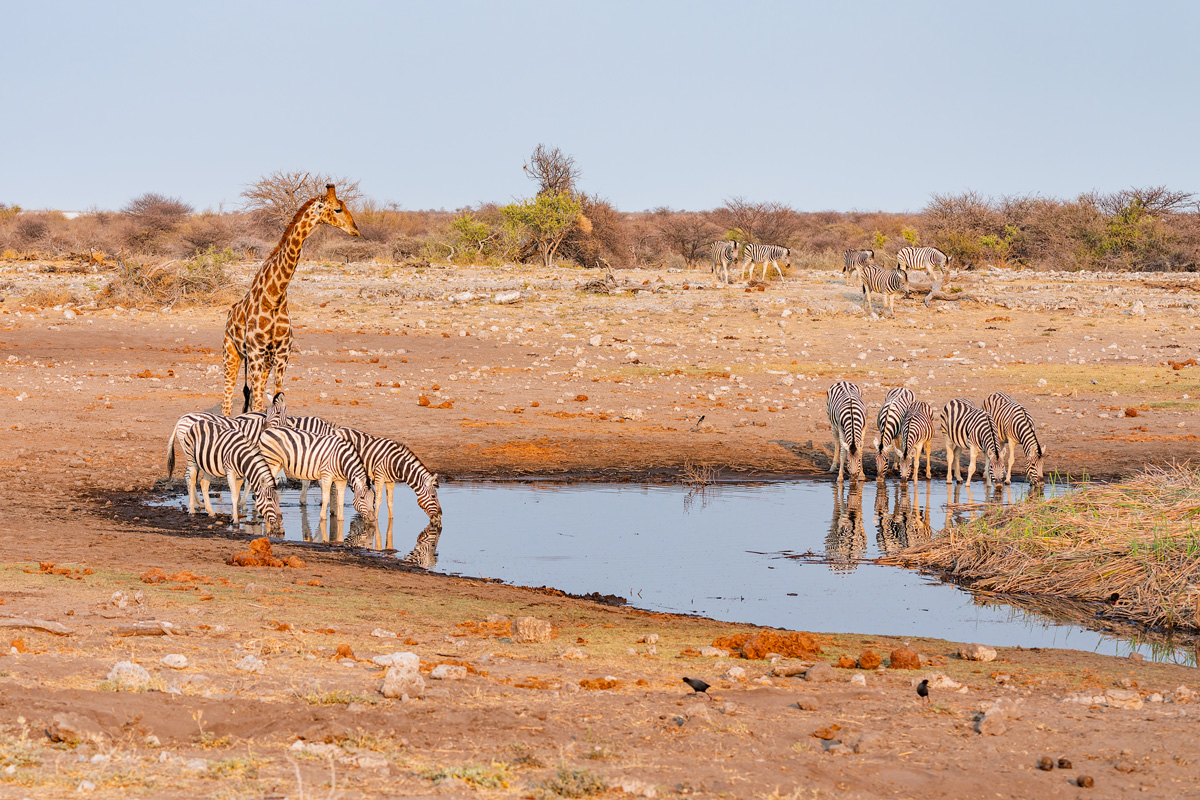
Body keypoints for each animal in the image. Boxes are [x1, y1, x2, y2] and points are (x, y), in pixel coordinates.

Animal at [222, 184, 359, 416]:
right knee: (227, 400)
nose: (356, 230)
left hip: (263, 361)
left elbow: (277, 398)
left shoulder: (282, 354)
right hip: (232, 352)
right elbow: (257, 403)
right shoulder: (256, 352)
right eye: (338, 209)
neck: (275, 296)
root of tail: (230, 315)